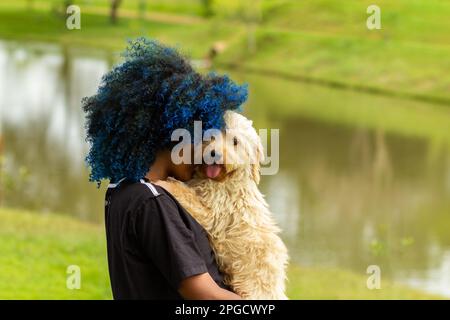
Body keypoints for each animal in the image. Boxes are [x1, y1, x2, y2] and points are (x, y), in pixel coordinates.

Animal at [165, 111, 288, 298]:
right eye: (210, 136)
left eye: (235, 141)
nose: (213, 154)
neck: (224, 180)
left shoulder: (213, 214)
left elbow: (187, 195)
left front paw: (165, 184)